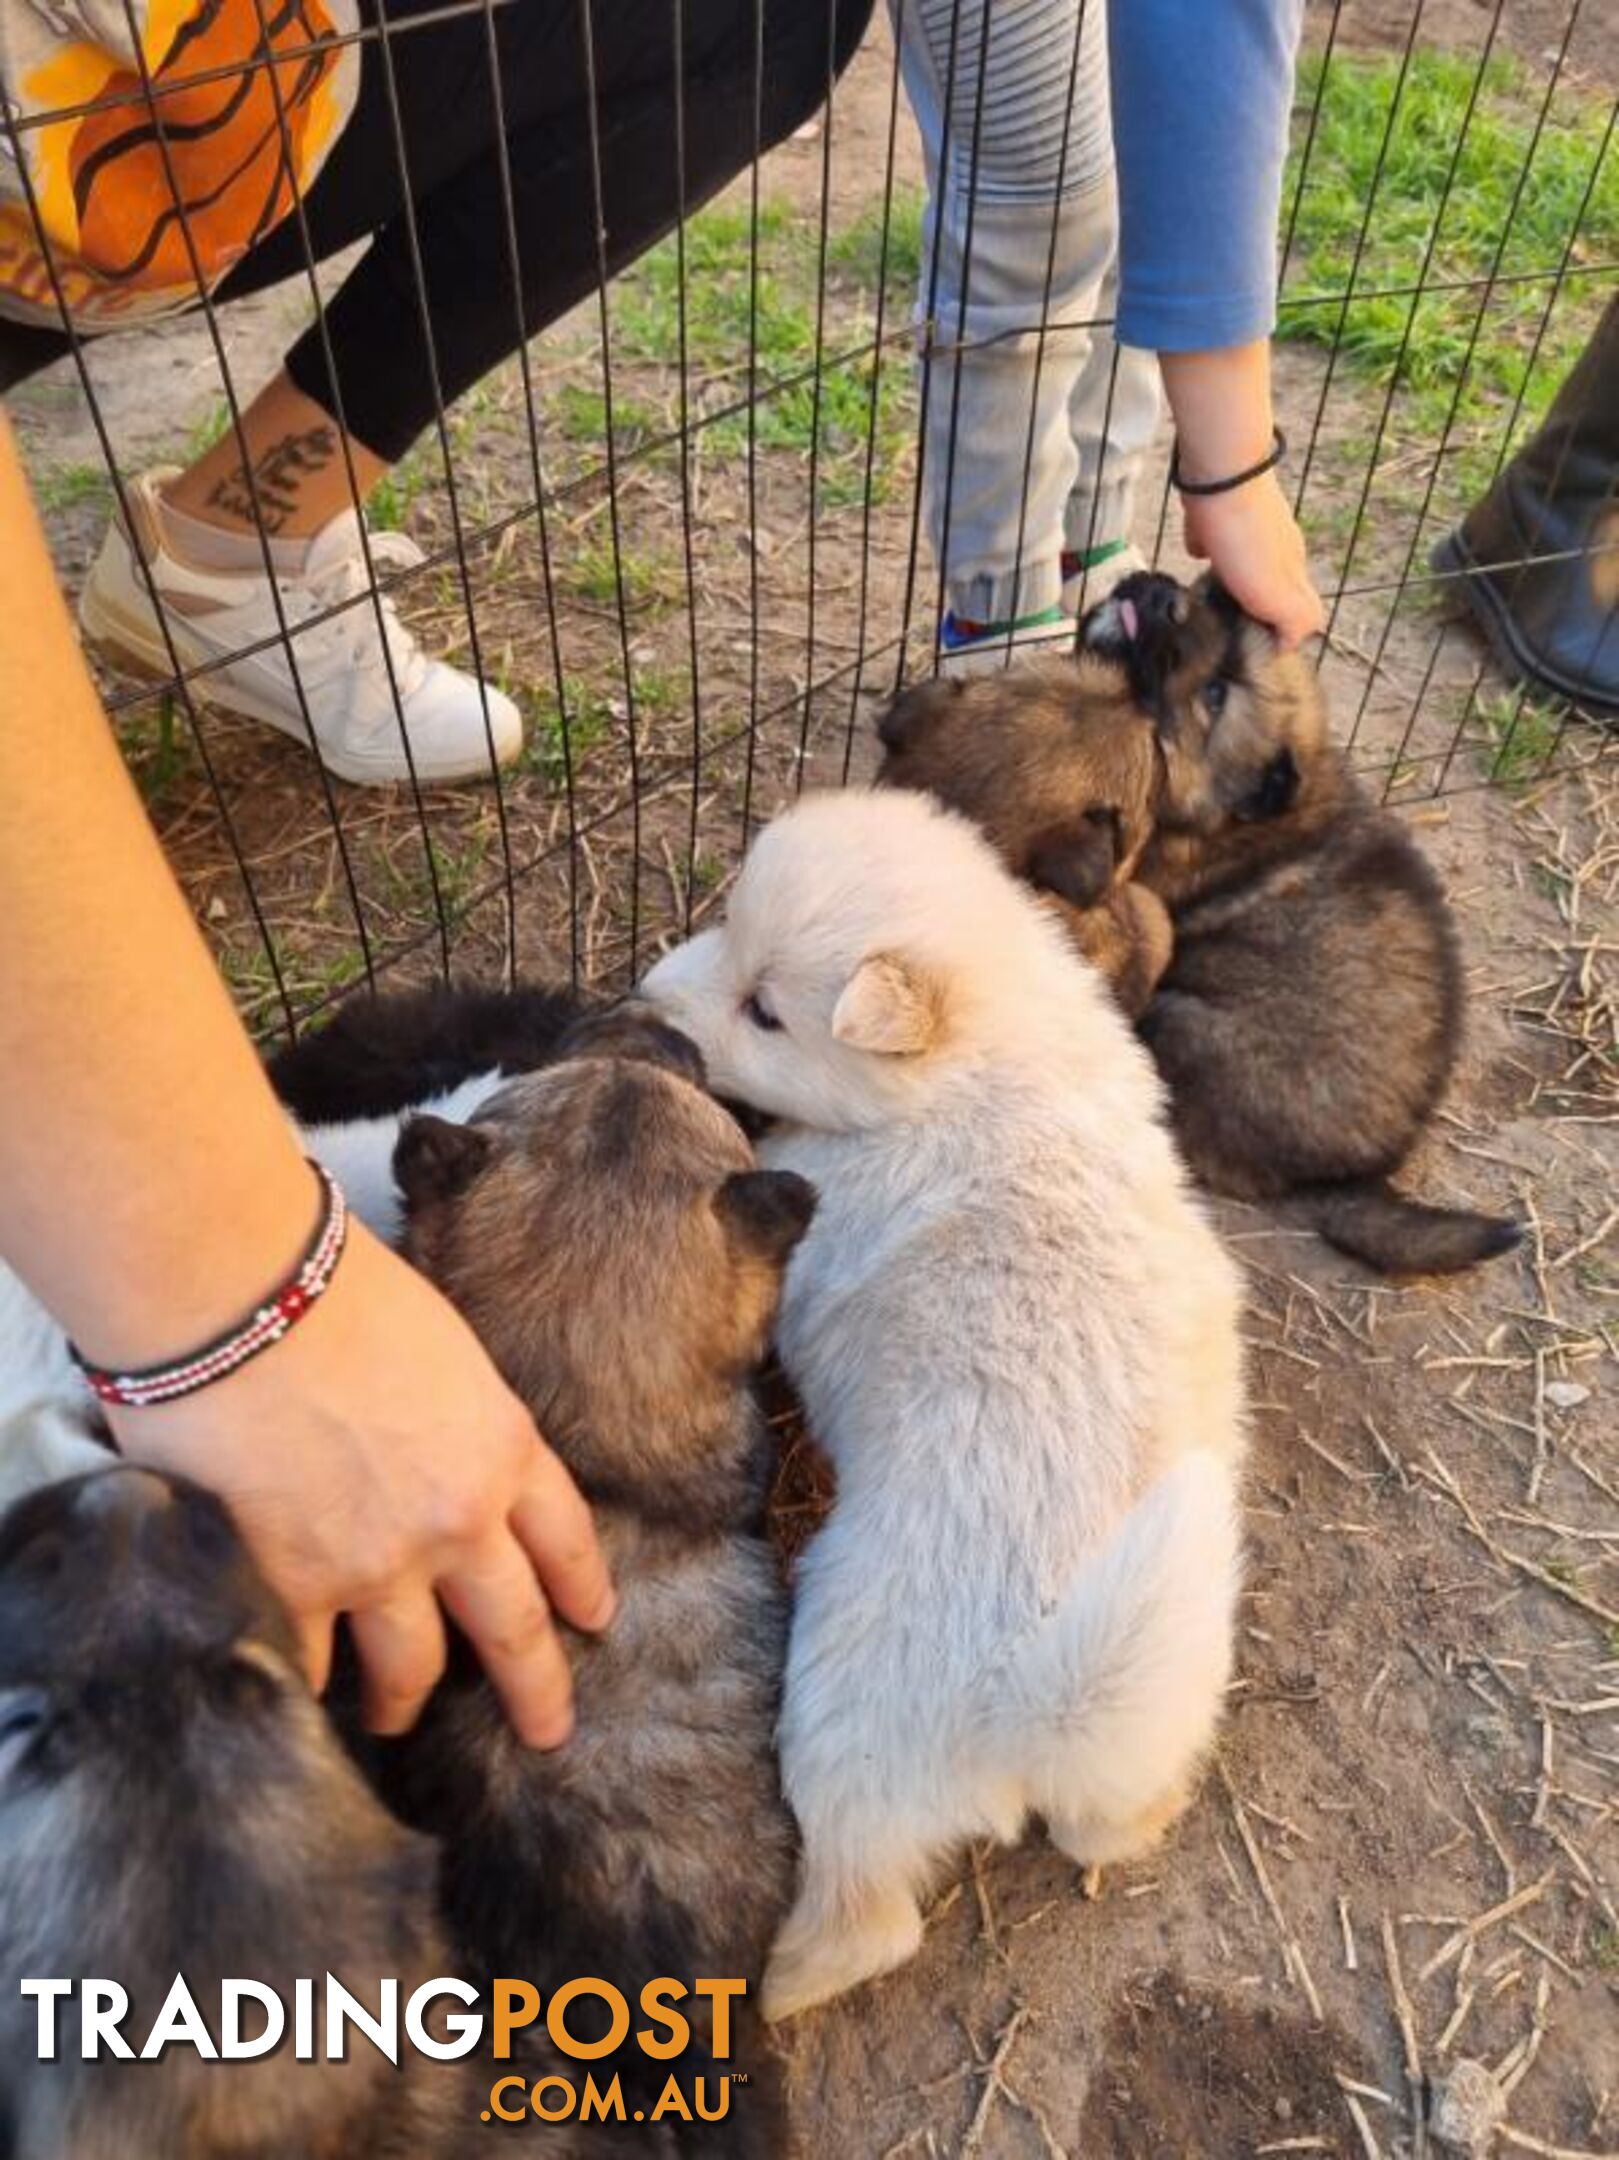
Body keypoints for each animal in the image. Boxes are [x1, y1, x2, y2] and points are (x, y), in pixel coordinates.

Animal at [638, 790, 1252, 2021]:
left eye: (765, 1010)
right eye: (726, 926)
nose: (647, 996)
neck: (985, 1064)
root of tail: (1036, 1703)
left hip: (842, 1704)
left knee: (868, 1914)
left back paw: (773, 1988)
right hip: (1149, 1704)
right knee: (1104, 1821)